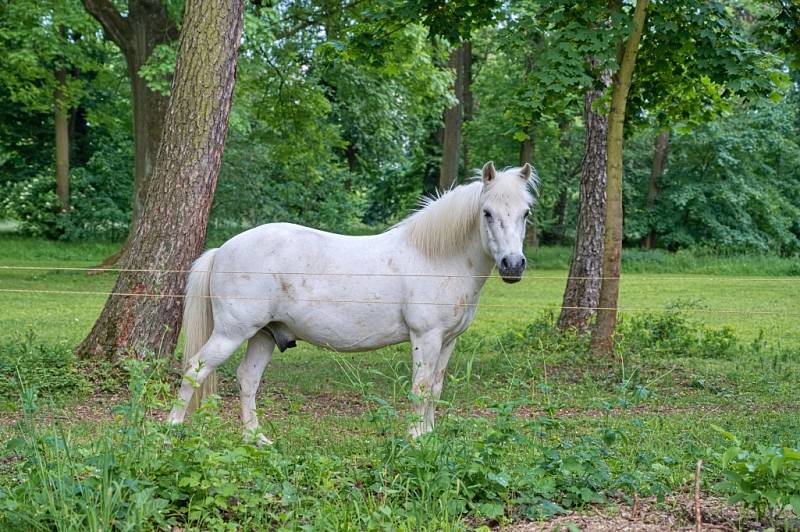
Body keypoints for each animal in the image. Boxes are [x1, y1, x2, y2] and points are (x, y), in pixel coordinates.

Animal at [166, 160, 536, 442]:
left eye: (526, 213)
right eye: (487, 213)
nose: (513, 265)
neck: (436, 258)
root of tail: (221, 250)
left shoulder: (448, 341)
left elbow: (435, 388)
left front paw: (429, 436)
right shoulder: (426, 337)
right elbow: (420, 387)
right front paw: (416, 440)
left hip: (263, 335)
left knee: (247, 380)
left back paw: (256, 440)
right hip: (231, 333)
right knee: (195, 370)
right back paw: (171, 432)